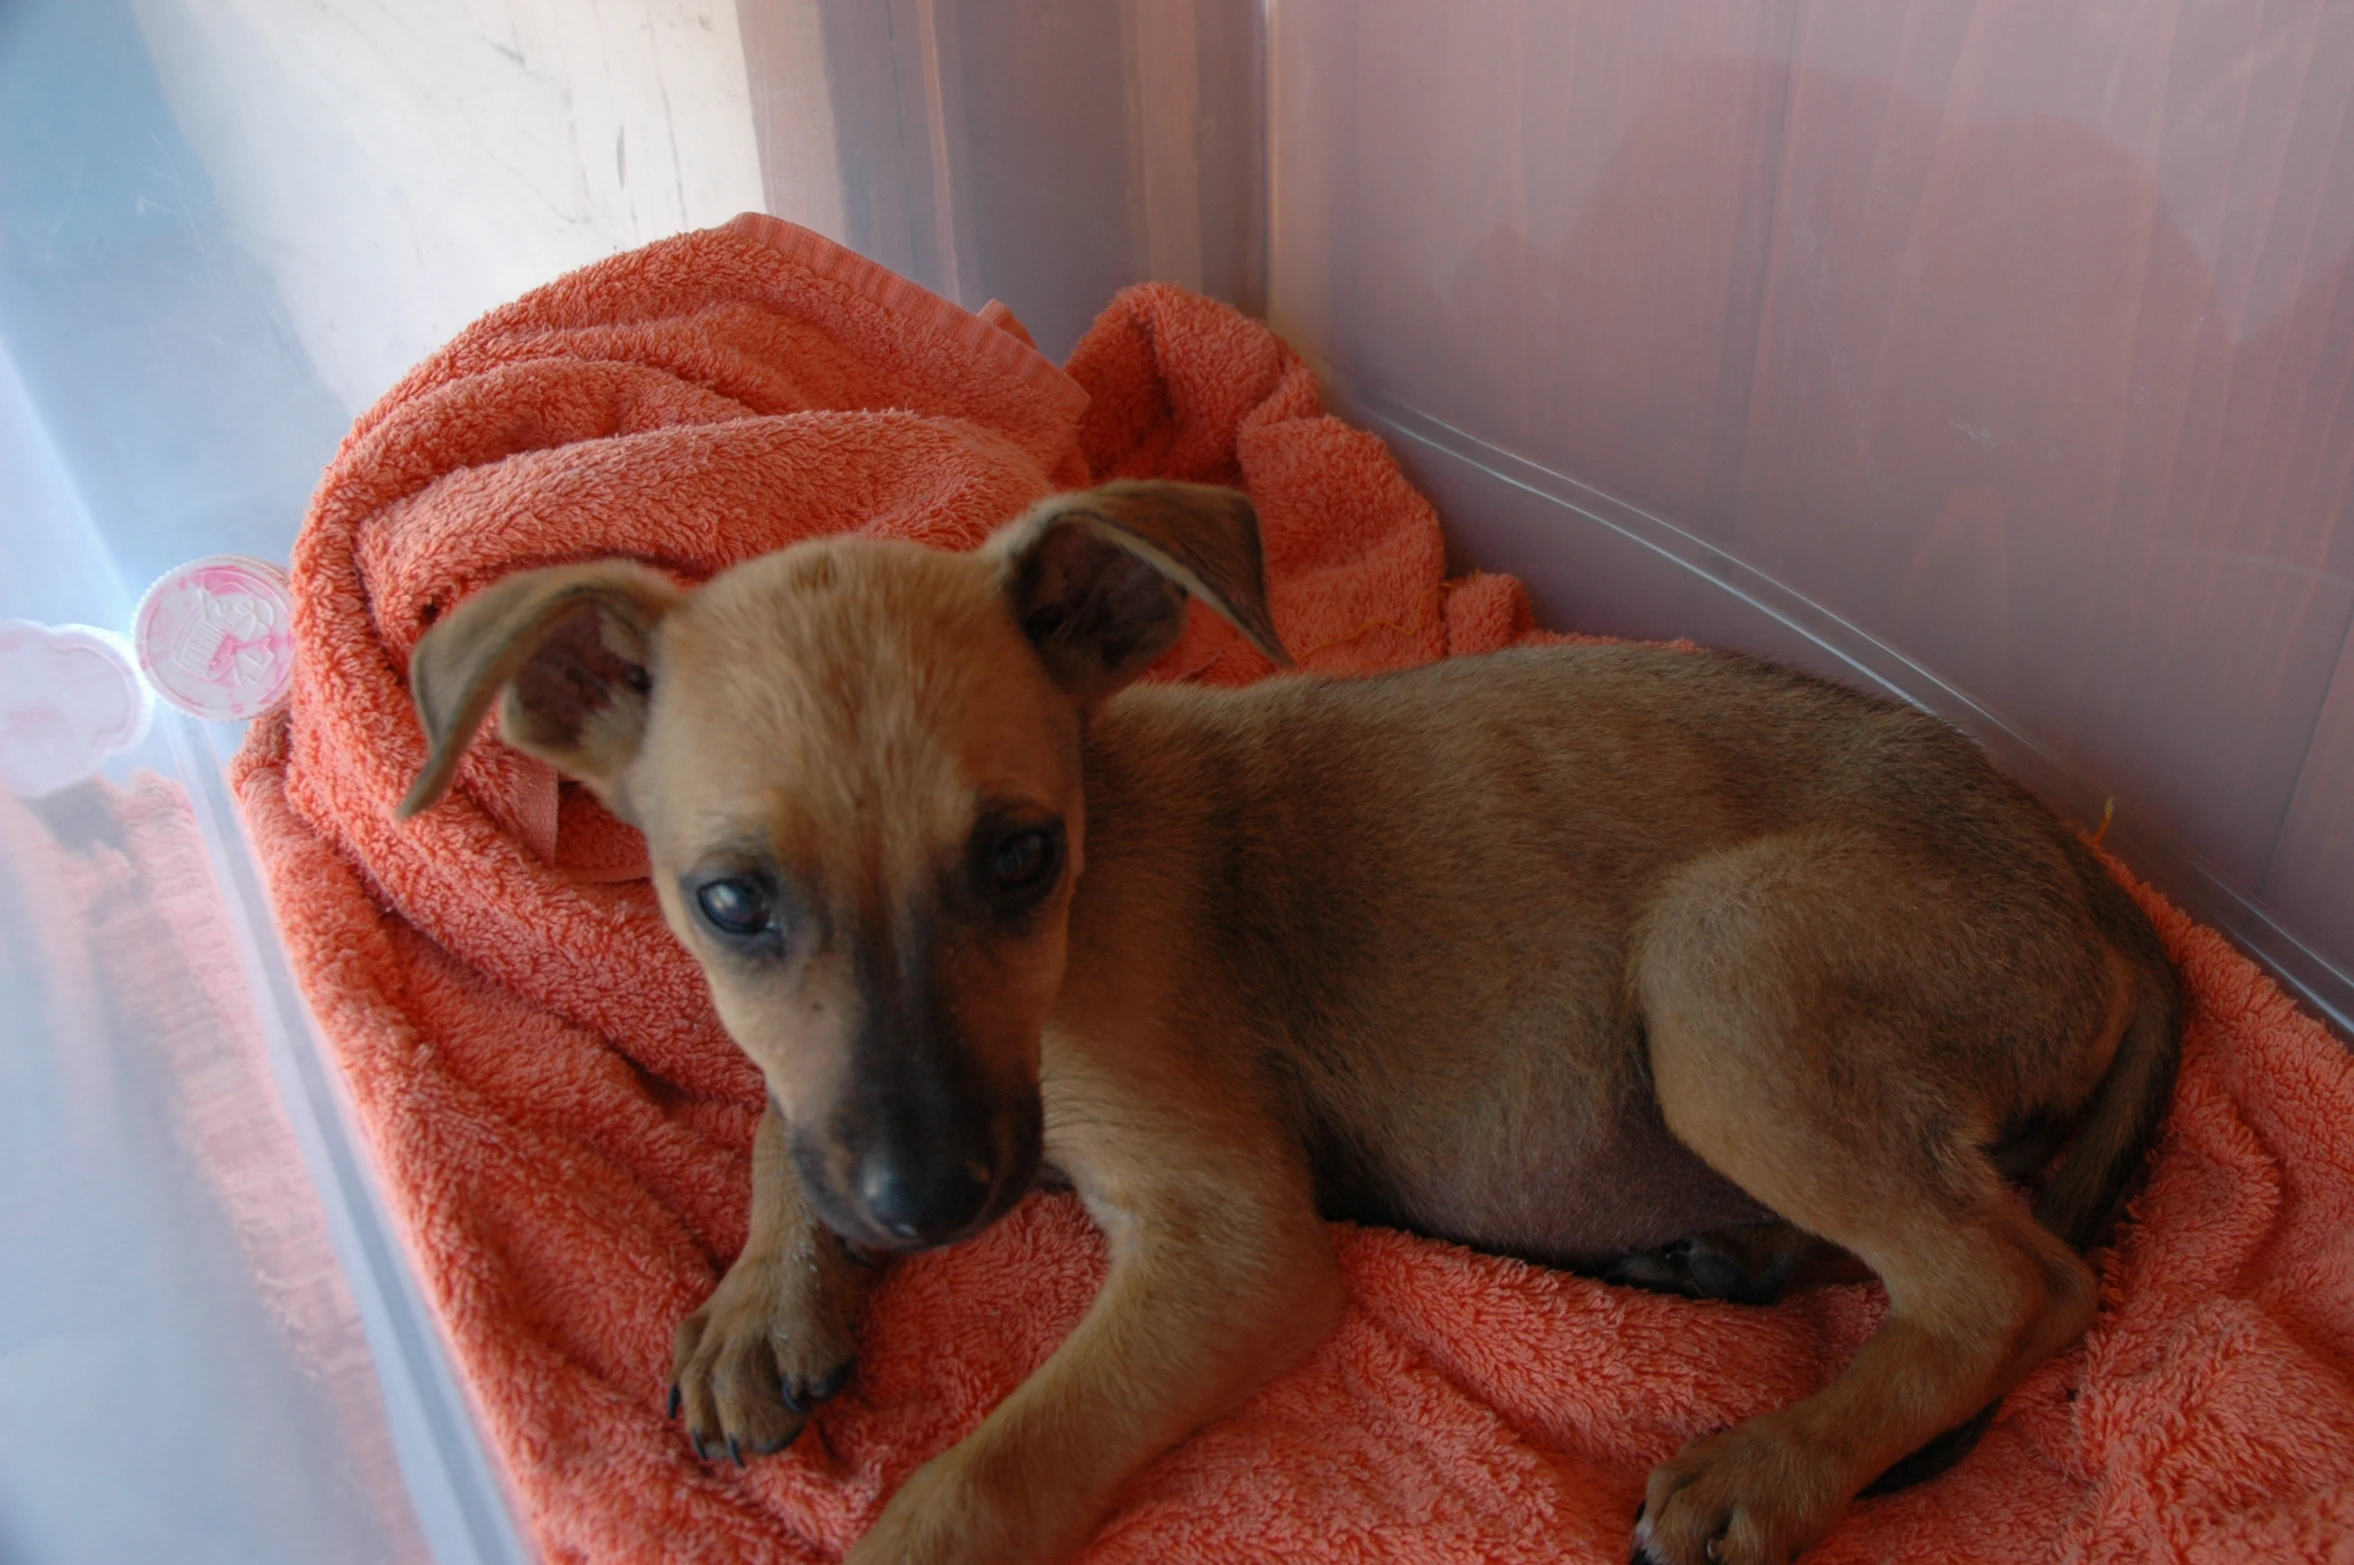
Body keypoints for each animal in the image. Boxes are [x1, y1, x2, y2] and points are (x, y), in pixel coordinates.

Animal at [395, 484, 2175, 1562]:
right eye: (732, 903)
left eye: (1021, 855)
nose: (930, 1205)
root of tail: (2096, 888)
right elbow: (781, 1111)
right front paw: (763, 1301)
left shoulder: (1231, 1238)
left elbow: (988, 1470)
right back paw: (1712, 1260)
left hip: (1721, 959)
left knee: (2010, 1281)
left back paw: (1771, 1467)